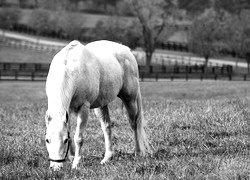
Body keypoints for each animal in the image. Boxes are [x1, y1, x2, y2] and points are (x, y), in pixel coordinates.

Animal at [44, 40, 149, 170]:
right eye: (47, 140)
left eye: (64, 140)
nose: (55, 167)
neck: (70, 68)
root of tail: (127, 50)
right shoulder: (66, 111)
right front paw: (72, 157)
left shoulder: (84, 108)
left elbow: (78, 137)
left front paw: (76, 163)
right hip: (101, 105)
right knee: (107, 127)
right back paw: (107, 158)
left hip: (130, 99)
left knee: (134, 124)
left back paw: (138, 152)